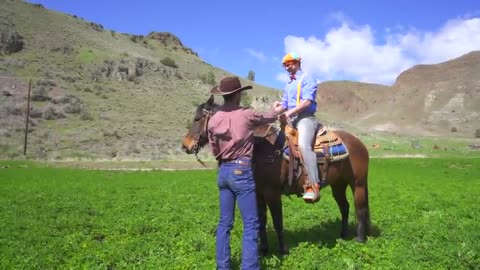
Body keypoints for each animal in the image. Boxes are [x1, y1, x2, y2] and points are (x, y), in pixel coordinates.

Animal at [181, 95, 372, 255]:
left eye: (197, 119)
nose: (185, 145)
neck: (262, 147)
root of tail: (359, 143)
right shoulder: (258, 194)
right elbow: (262, 221)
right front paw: (264, 249)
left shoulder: (272, 193)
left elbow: (278, 221)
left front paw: (283, 249)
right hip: (338, 184)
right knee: (345, 207)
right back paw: (343, 235)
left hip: (358, 183)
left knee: (360, 207)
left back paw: (360, 238)